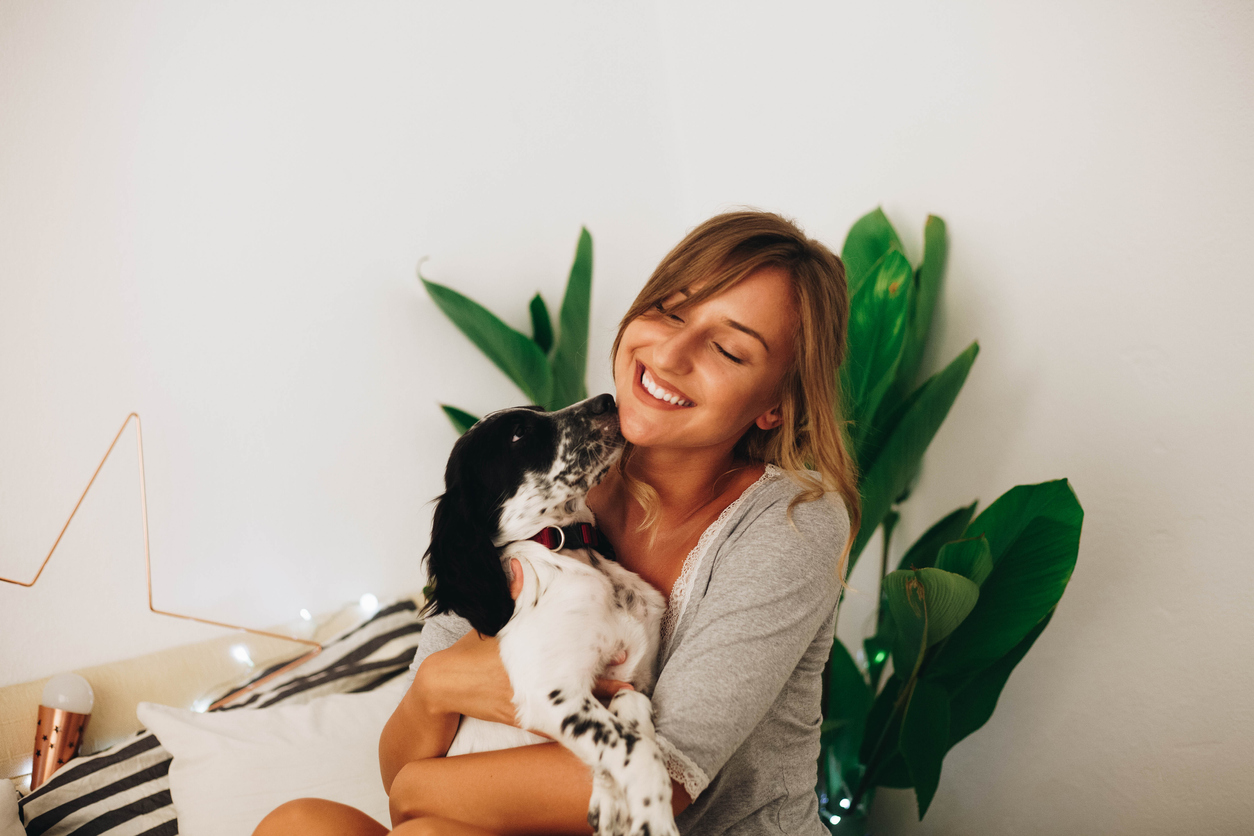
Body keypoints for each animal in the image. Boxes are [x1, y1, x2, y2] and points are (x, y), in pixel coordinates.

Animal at [421, 393, 677, 836]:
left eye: (540, 411)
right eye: (519, 434)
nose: (607, 400)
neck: (570, 550)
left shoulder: (636, 678)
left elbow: (631, 713)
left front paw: (610, 801)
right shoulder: (551, 691)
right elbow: (635, 748)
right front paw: (652, 814)